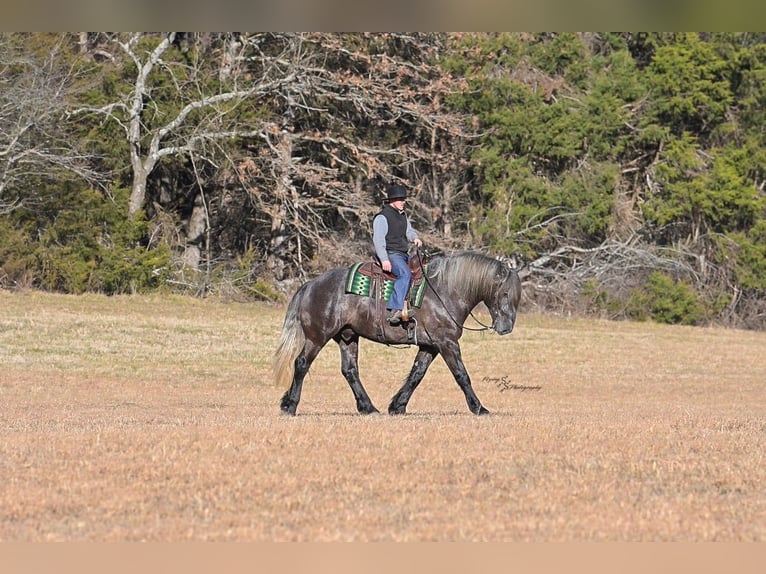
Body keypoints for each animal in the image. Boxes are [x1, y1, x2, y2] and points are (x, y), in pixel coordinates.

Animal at [274, 251, 522, 416]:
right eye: (505, 293)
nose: (506, 328)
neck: (445, 290)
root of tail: (310, 284)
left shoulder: (430, 346)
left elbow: (416, 375)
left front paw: (398, 406)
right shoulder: (446, 343)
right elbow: (462, 375)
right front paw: (479, 407)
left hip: (347, 337)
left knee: (350, 371)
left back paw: (368, 407)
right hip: (317, 337)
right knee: (301, 364)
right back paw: (291, 405)